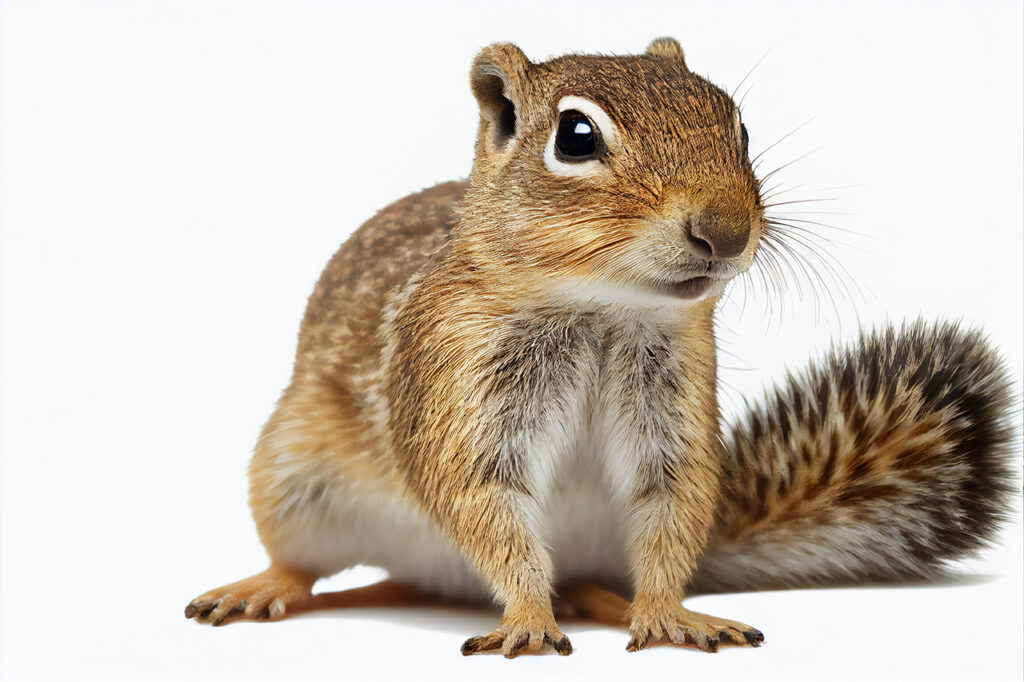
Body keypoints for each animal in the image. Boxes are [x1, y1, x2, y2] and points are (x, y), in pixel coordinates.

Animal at [185, 38, 1017, 657]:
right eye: (576, 136)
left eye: (738, 125)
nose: (725, 230)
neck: (600, 309)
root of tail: (433, 582)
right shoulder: (458, 384)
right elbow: (484, 499)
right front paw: (525, 619)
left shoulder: (675, 404)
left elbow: (670, 498)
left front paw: (667, 611)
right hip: (292, 480)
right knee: (303, 563)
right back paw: (267, 588)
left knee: (584, 583)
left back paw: (615, 605)